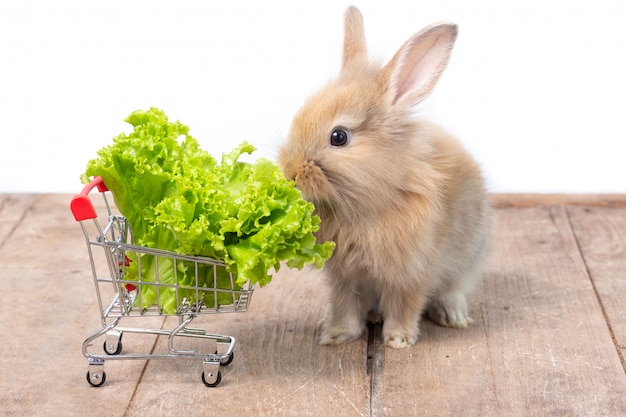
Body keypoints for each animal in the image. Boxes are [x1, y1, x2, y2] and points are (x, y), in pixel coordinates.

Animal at [280, 5, 492, 348]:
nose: (290, 173)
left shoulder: (410, 273)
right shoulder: (344, 276)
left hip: (469, 258)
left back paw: (453, 315)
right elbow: (344, 304)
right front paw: (336, 335)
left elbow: (405, 305)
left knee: (453, 289)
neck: (366, 204)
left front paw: (398, 340)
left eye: (339, 137)